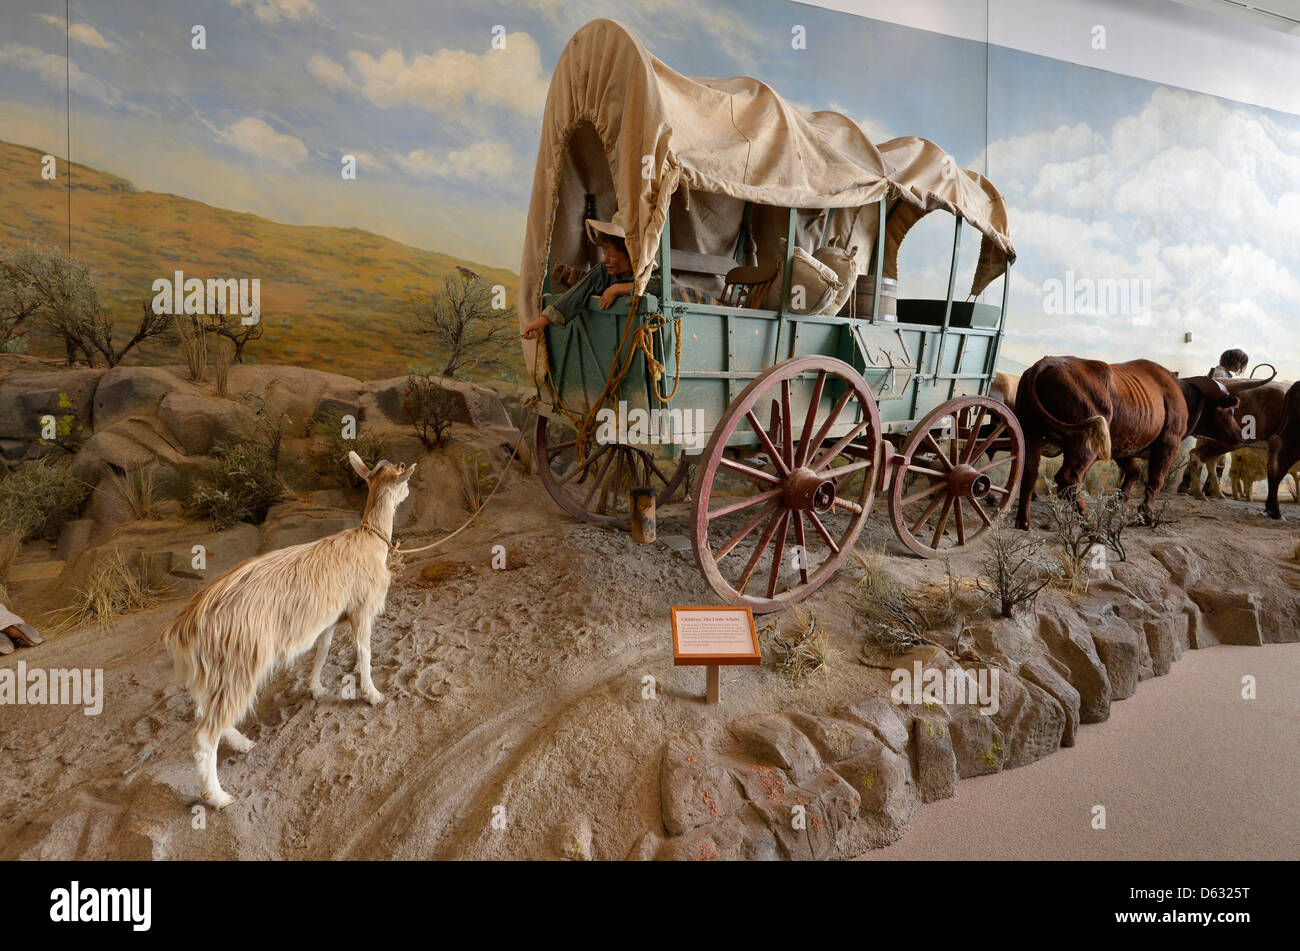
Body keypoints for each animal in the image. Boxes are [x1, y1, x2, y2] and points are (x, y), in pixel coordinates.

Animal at [161, 452, 413, 810]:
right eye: (401, 476)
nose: (409, 490)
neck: (368, 540)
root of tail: (182, 629)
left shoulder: (329, 617)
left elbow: (322, 650)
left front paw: (315, 688)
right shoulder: (362, 609)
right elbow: (364, 652)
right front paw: (372, 694)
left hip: (207, 675)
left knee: (204, 713)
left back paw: (242, 743)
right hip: (237, 668)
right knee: (204, 735)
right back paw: (219, 797)